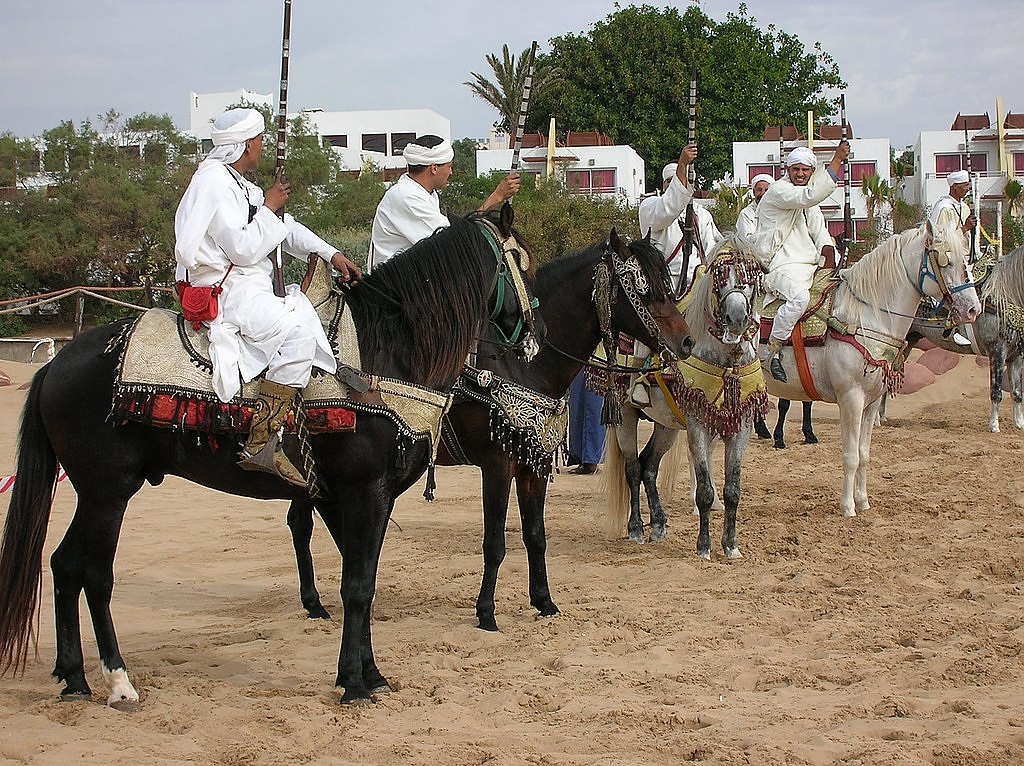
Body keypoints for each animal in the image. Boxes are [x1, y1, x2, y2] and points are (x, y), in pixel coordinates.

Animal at [2, 204, 536, 704]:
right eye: (521, 264)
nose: (534, 335)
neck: (386, 352)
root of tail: (56, 365)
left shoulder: (368, 497)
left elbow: (363, 580)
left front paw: (371, 675)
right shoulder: (363, 491)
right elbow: (357, 586)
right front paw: (353, 683)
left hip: (94, 492)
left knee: (65, 565)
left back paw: (74, 677)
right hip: (108, 493)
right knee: (94, 573)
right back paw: (118, 682)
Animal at [286, 230, 696, 630]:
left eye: (667, 284)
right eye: (645, 289)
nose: (687, 341)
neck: (522, 363)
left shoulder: (533, 466)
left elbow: (535, 536)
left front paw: (544, 601)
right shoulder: (498, 465)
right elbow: (495, 542)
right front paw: (486, 612)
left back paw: (315, 602)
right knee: (303, 524)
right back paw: (315, 602)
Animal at [602, 236, 765, 561]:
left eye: (751, 277)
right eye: (719, 276)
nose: (737, 319)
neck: (726, 362)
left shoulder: (740, 427)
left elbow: (732, 491)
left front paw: (731, 545)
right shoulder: (697, 426)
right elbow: (705, 491)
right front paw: (704, 546)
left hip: (666, 425)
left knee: (649, 466)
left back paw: (658, 526)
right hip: (625, 417)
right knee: (633, 469)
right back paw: (636, 528)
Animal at [765, 220, 978, 514]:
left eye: (966, 259)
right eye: (944, 261)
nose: (973, 309)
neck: (863, 317)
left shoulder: (872, 401)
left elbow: (864, 454)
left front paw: (863, 501)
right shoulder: (851, 398)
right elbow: (850, 455)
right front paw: (847, 507)